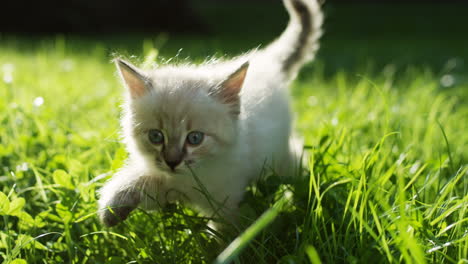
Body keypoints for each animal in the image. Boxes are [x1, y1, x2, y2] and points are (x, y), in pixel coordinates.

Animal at [97, 0, 324, 227]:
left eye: (195, 138)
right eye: (156, 136)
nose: (172, 162)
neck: (190, 178)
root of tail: (264, 60)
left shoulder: (226, 202)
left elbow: (225, 231)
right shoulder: (165, 186)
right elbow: (138, 180)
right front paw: (112, 211)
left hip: (279, 156)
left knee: (295, 162)